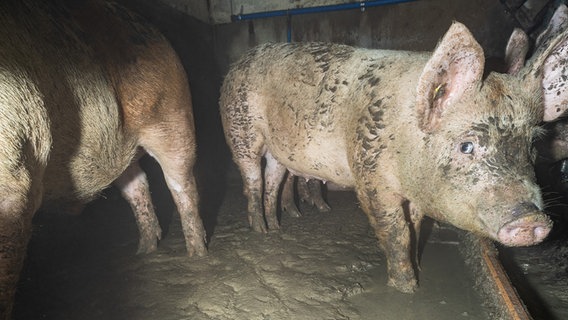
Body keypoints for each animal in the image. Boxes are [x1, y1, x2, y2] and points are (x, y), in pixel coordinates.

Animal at [0, 0, 207, 316]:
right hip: (123, 150)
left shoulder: (14, 171)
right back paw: (144, 250)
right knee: (137, 185)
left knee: (181, 183)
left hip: (174, 116)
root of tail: (154, 31)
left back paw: (197, 254)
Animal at [219, 21, 568, 294]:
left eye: (533, 145)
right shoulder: (370, 175)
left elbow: (414, 227)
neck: (405, 143)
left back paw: (276, 228)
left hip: (278, 151)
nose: (533, 220)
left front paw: (419, 269)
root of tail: (237, 63)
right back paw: (261, 231)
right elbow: (396, 230)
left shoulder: (413, 193)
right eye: (466, 146)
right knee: (252, 180)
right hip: (240, 130)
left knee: (273, 179)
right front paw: (406, 288)